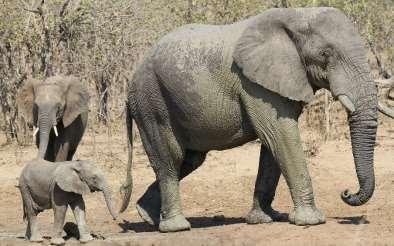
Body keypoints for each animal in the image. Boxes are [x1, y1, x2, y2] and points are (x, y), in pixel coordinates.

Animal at [120, 6, 394, 232]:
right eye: (325, 53)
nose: (346, 192)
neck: (297, 15)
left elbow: (273, 145)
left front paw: (265, 219)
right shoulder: (254, 84)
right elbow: (281, 135)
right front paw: (312, 220)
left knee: (189, 160)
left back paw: (147, 217)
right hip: (151, 103)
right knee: (170, 159)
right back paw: (176, 227)